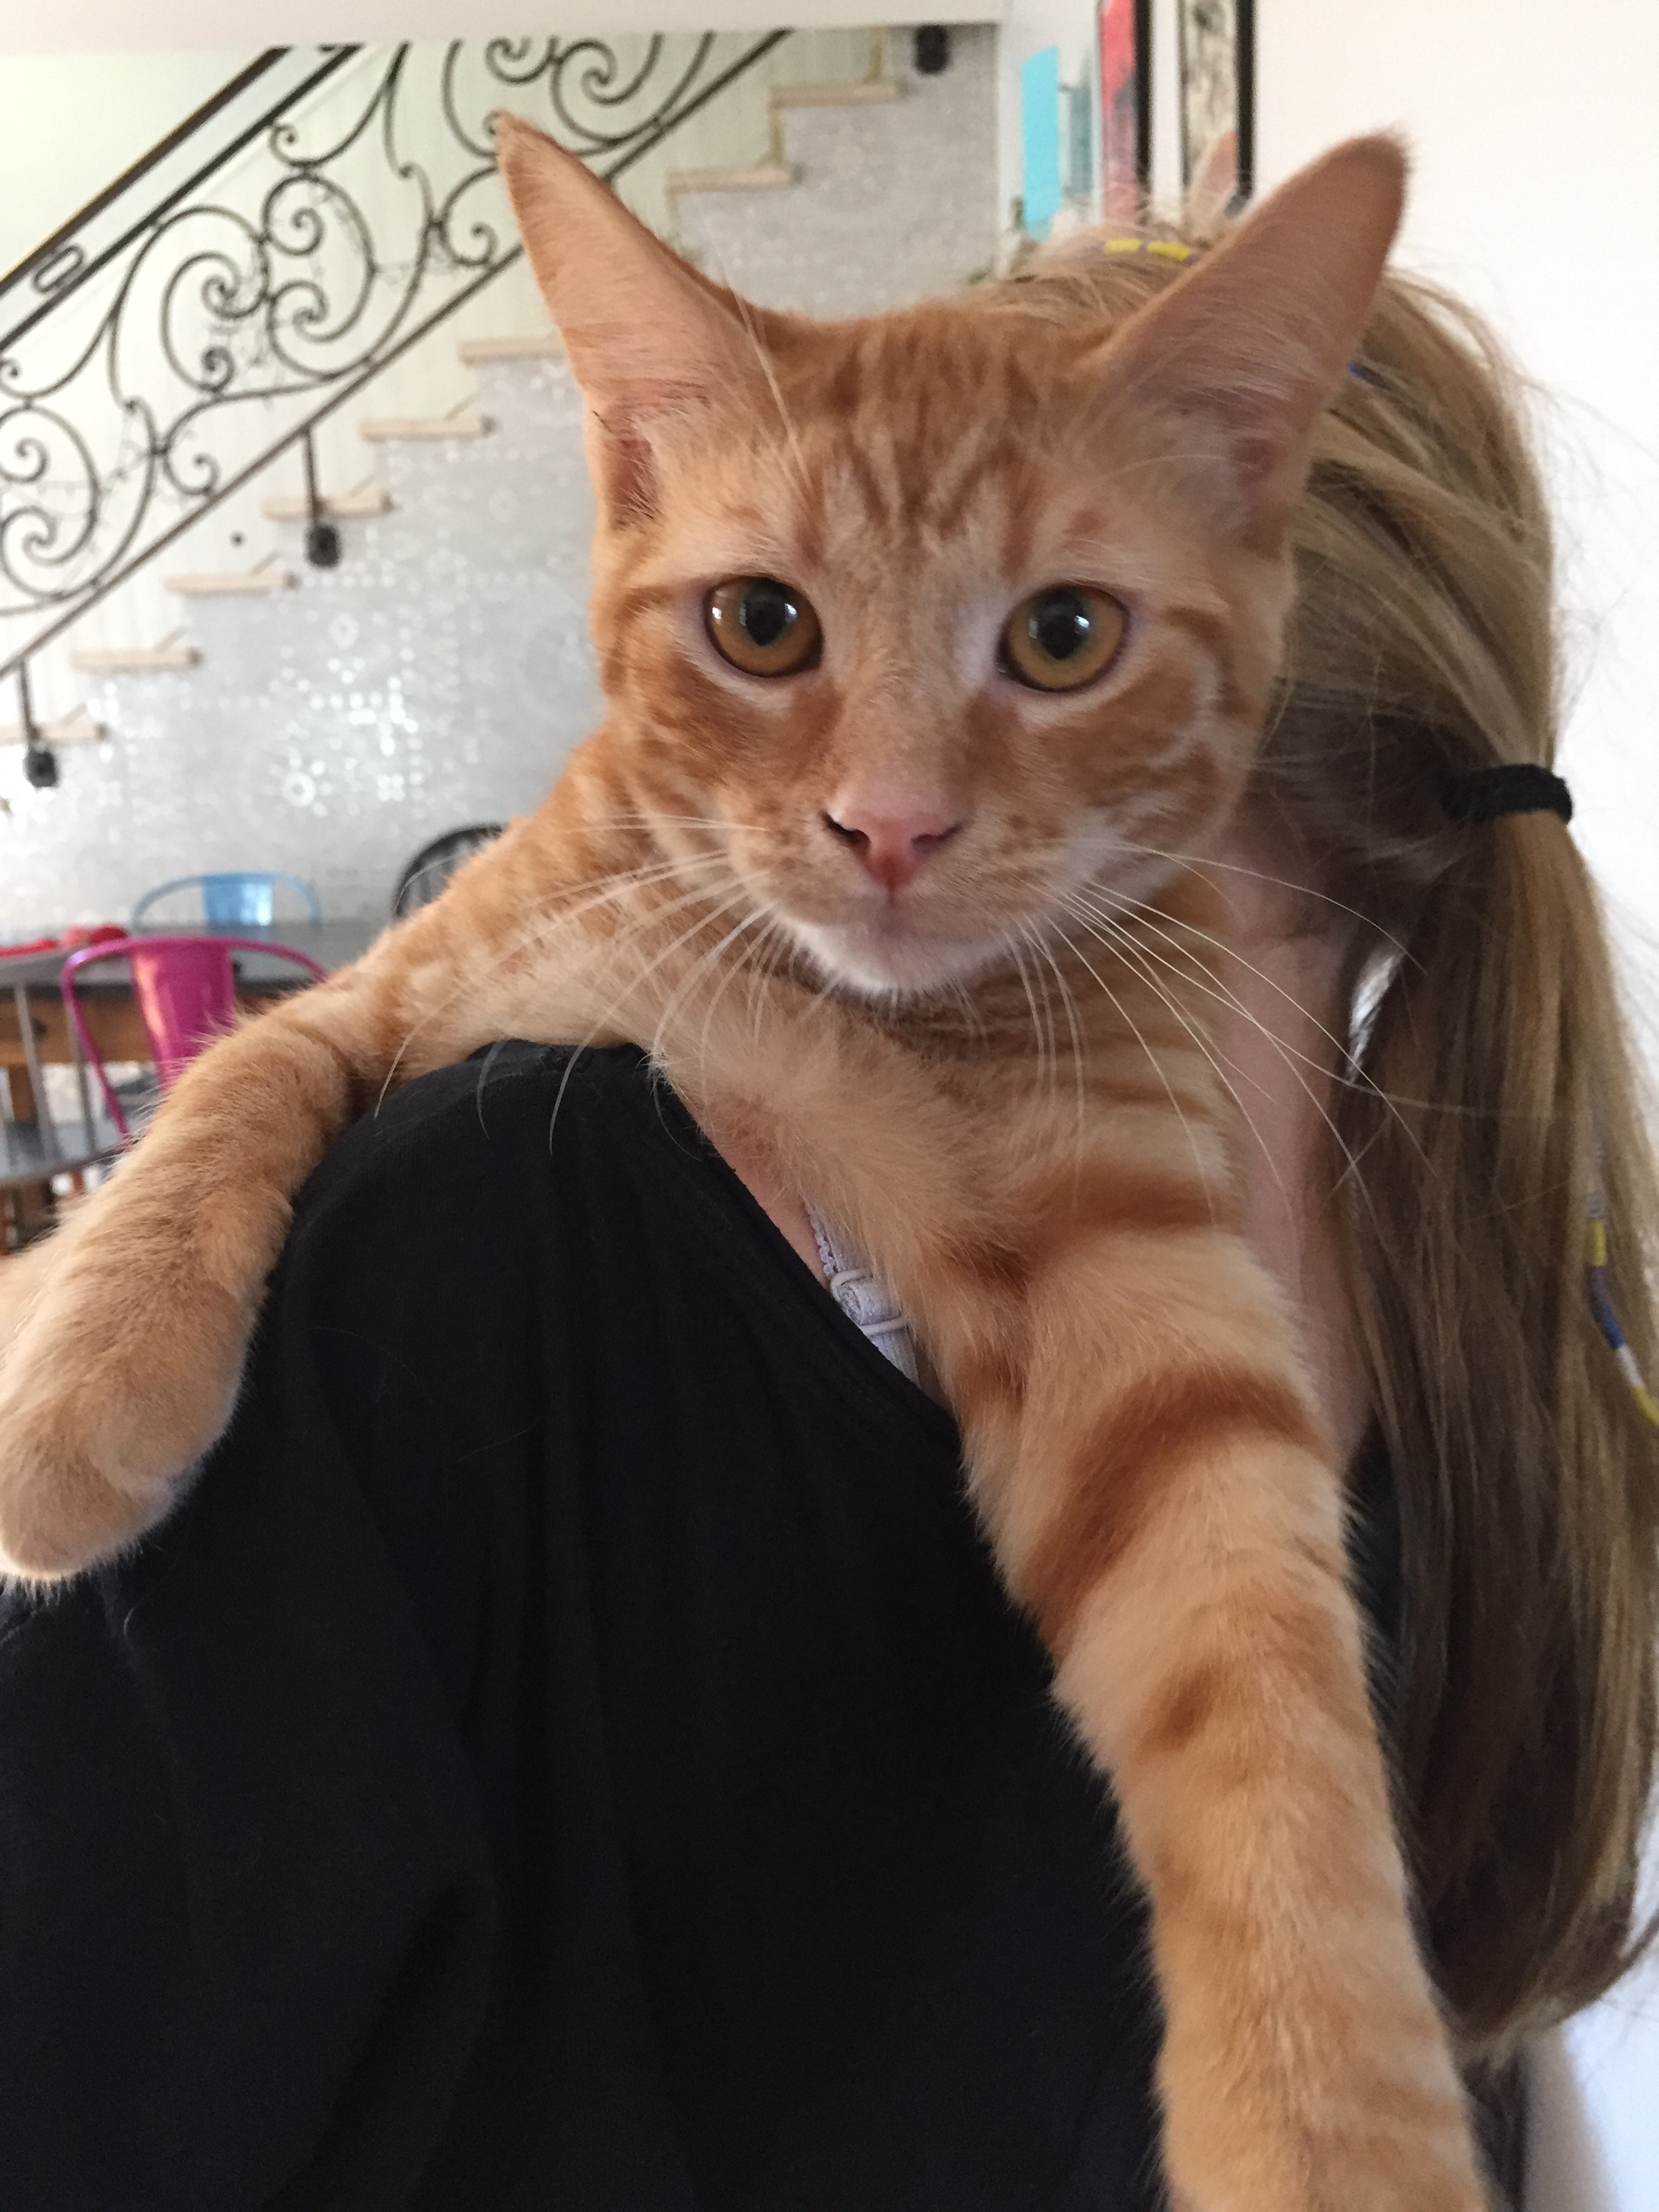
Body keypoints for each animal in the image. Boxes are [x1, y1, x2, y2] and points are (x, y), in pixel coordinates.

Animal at [0, 124, 1486, 2210]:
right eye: (761, 626)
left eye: (1066, 638)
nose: (891, 826)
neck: (836, 1011)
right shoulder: (398, 994)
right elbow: (221, 1095)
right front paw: (86, 1399)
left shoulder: (1140, 1293)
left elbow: (1258, 1689)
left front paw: (1326, 2122)